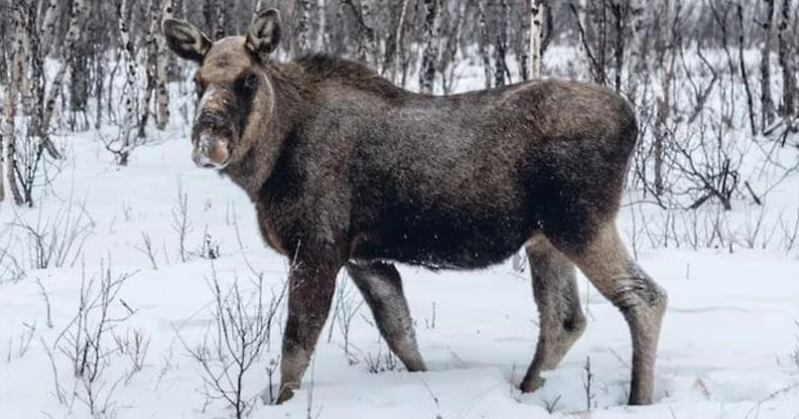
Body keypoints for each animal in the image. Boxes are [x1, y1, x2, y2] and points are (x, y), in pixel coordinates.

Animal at [162, 7, 668, 406]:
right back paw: (526, 389)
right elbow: (402, 336)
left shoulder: (318, 247)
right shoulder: (366, 257)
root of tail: (632, 120)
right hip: (545, 239)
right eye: (198, 81)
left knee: (644, 297)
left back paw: (638, 398)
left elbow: (295, 348)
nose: (209, 143)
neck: (268, 164)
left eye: (248, 80)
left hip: (580, 222)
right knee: (564, 319)